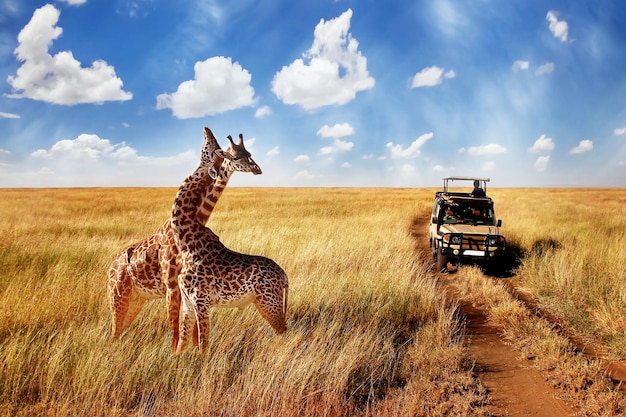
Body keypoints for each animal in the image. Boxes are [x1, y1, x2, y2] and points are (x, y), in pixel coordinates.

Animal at [107, 125, 258, 350]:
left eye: (248, 154)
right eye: (235, 155)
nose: (257, 169)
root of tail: (110, 268)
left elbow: (189, 329)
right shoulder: (173, 286)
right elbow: (177, 330)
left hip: (135, 300)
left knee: (118, 331)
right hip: (118, 297)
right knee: (114, 331)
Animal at [171, 134, 288, 354]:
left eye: (248, 154)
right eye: (236, 156)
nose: (257, 168)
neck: (186, 242)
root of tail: (285, 277)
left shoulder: (201, 301)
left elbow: (203, 345)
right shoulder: (188, 303)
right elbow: (182, 344)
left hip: (269, 303)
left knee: (284, 332)